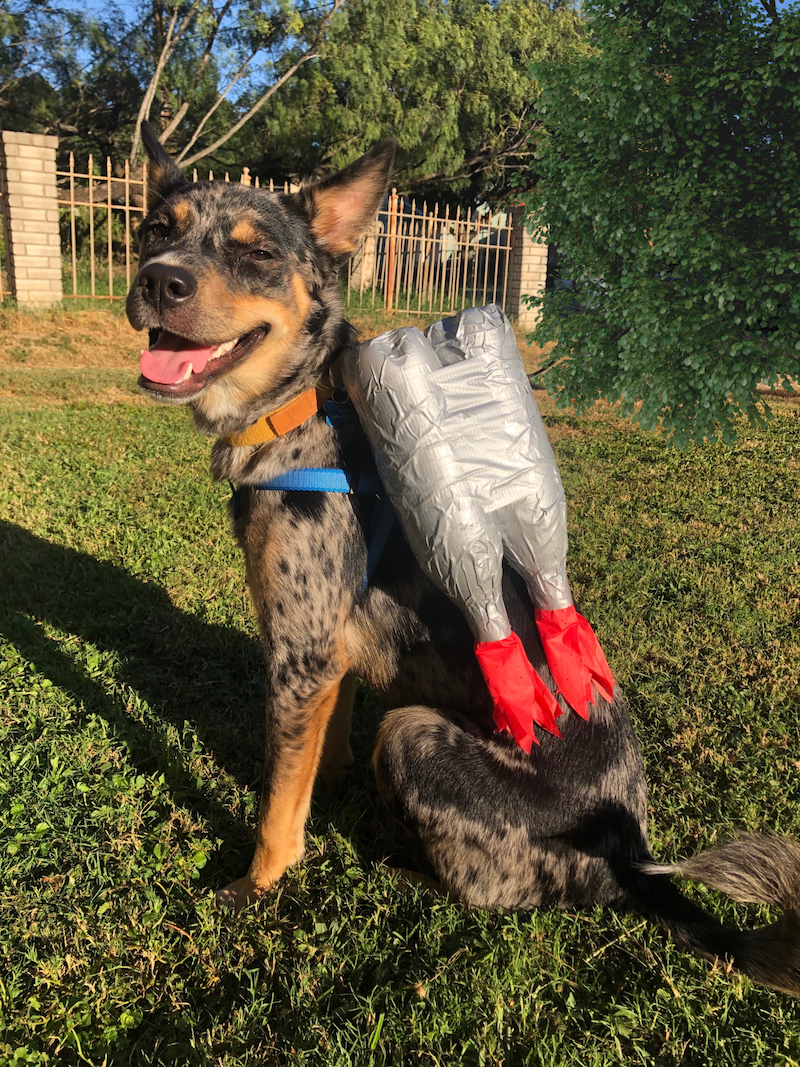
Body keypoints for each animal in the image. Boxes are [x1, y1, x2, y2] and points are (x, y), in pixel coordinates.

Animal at [126, 124, 800, 998]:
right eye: (156, 229)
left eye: (254, 253)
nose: (156, 279)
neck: (302, 406)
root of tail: (631, 859)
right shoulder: (329, 651)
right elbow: (316, 754)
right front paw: (327, 790)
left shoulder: (298, 650)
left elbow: (277, 806)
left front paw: (259, 883)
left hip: (412, 730)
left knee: (486, 890)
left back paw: (404, 869)